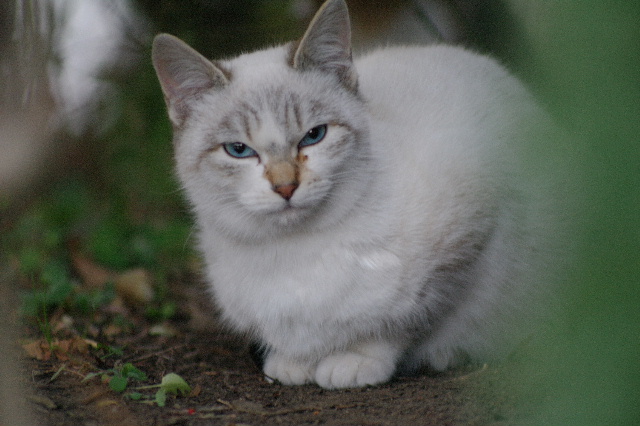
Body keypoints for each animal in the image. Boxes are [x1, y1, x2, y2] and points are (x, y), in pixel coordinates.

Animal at [152, 0, 556, 388]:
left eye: (314, 136)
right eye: (238, 150)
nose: (285, 186)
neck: (294, 252)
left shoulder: (462, 245)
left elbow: (400, 324)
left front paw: (356, 361)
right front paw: (293, 363)